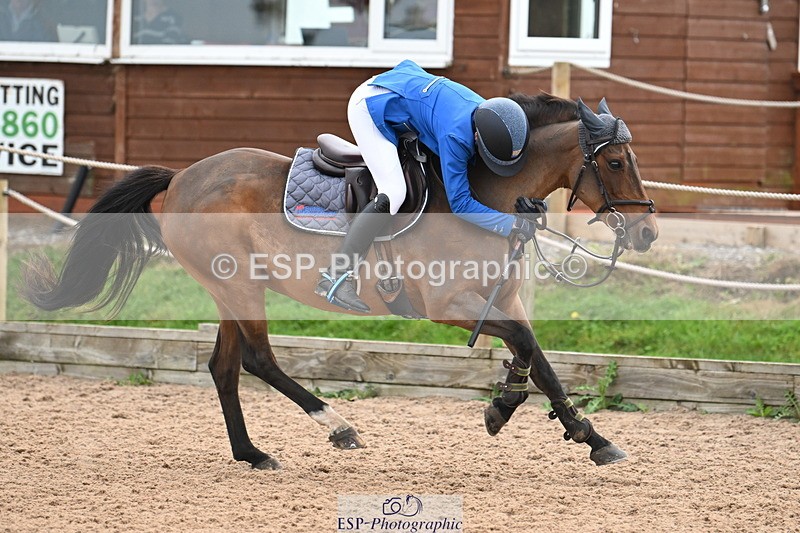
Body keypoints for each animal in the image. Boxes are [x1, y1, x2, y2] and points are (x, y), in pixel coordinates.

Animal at [22, 94, 658, 470]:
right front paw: (506, 407)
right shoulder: (447, 303)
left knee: (225, 367)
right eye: (616, 162)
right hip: (240, 287)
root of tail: (180, 178)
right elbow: (525, 346)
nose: (648, 232)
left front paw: (585, 434)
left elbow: (539, 356)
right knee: (257, 359)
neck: (484, 190)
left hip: (232, 288)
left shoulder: (502, 299)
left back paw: (251, 453)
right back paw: (339, 427)